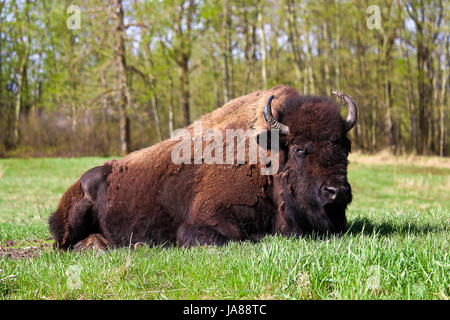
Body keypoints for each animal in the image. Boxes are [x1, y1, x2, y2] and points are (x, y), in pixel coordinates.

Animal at [48, 85, 358, 250]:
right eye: (299, 149)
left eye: (345, 147)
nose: (338, 191)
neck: (266, 157)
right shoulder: (200, 222)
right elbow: (238, 237)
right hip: (74, 216)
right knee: (63, 245)